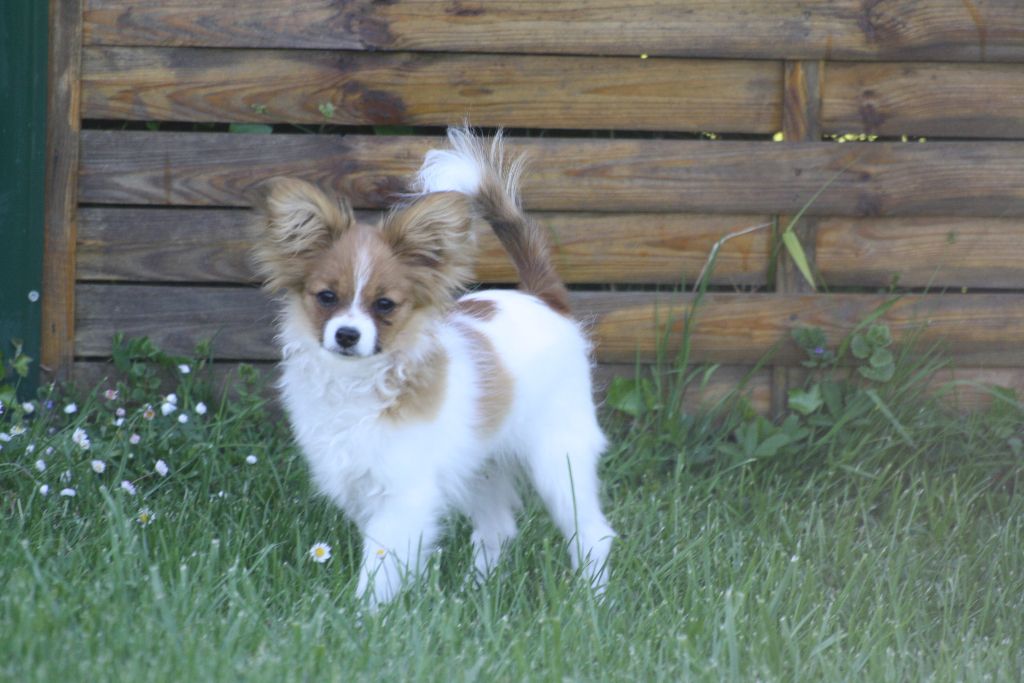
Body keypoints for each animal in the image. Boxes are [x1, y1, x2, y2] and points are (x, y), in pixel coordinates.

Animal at [253, 129, 614, 610]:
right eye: (326, 297)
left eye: (385, 305)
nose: (346, 334)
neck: (359, 383)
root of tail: (544, 299)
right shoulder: (365, 485)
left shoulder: (403, 494)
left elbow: (380, 566)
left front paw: (364, 616)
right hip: (481, 465)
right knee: (497, 529)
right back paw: (473, 593)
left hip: (559, 459)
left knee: (591, 532)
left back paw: (592, 600)